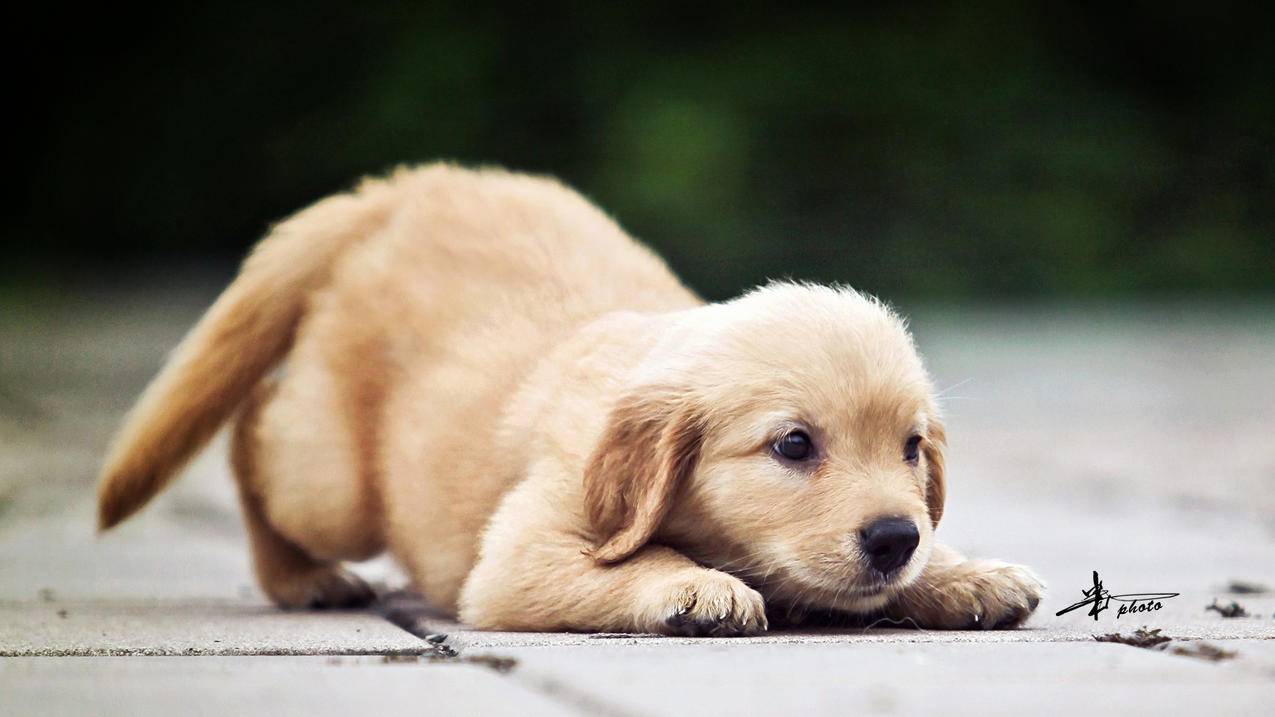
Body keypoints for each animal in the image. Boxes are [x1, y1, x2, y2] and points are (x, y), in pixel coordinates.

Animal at [96, 164, 1045, 632]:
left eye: (912, 448)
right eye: (792, 445)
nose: (890, 537)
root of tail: (402, 187)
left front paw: (964, 571)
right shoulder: (521, 554)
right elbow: (640, 561)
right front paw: (694, 588)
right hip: (334, 485)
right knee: (252, 434)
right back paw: (301, 578)